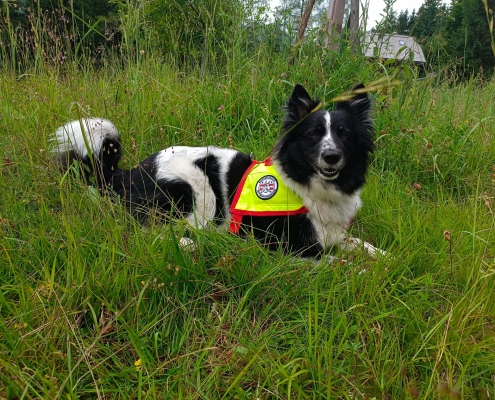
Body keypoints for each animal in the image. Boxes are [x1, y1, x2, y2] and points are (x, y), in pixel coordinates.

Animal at [52, 84, 385, 259]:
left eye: (344, 134)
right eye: (314, 135)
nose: (331, 156)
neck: (305, 184)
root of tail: (129, 172)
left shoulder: (333, 232)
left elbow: (359, 243)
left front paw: (385, 257)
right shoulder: (283, 247)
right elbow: (336, 261)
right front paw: (360, 270)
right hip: (196, 190)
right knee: (148, 231)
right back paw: (191, 243)